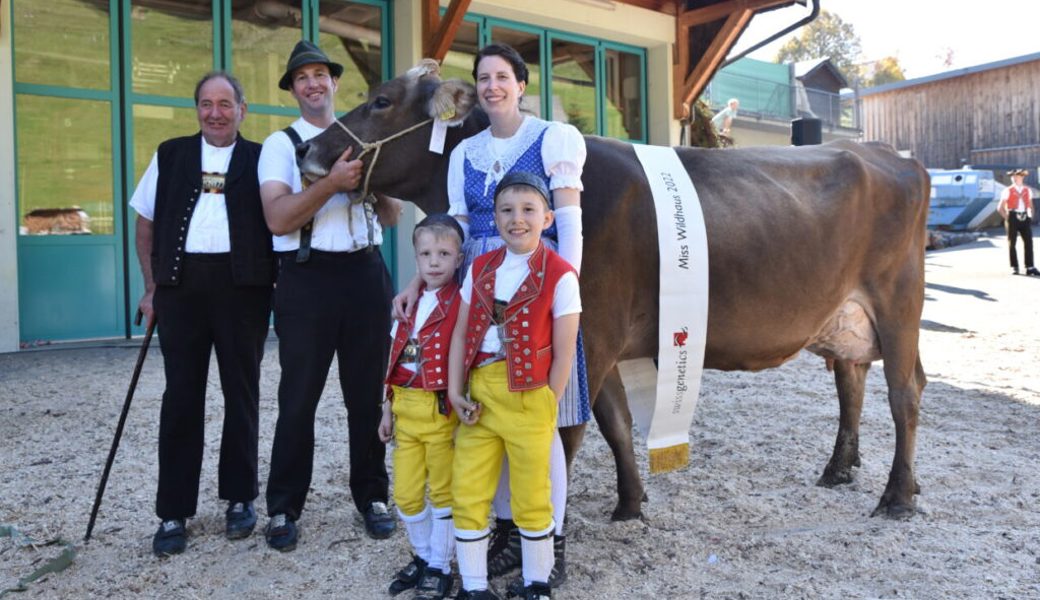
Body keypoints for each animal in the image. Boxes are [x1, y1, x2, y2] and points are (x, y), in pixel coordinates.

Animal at [297, 65, 931, 519]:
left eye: (381, 100)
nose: (306, 150)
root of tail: (884, 151)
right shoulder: (594, 339)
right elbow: (616, 423)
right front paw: (631, 504)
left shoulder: (593, 335)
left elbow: (568, 434)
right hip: (846, 314)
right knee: (852, 379)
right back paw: (840, 469)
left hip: (899, 300)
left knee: (905, 392)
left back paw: (897, 497)